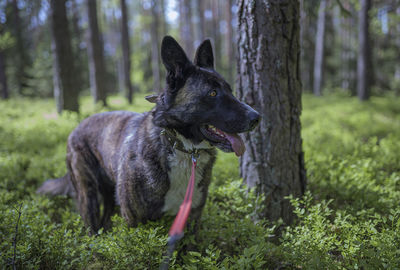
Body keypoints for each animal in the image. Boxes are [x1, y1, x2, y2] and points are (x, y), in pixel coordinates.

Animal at [38, 35, 260, 234]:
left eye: (231, 90)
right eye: (213, 93)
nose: (256, 117)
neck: (180, 146)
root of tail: (77, 126)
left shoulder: (191, 220)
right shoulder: (135, 221)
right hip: (88, 194)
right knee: (91, 223)